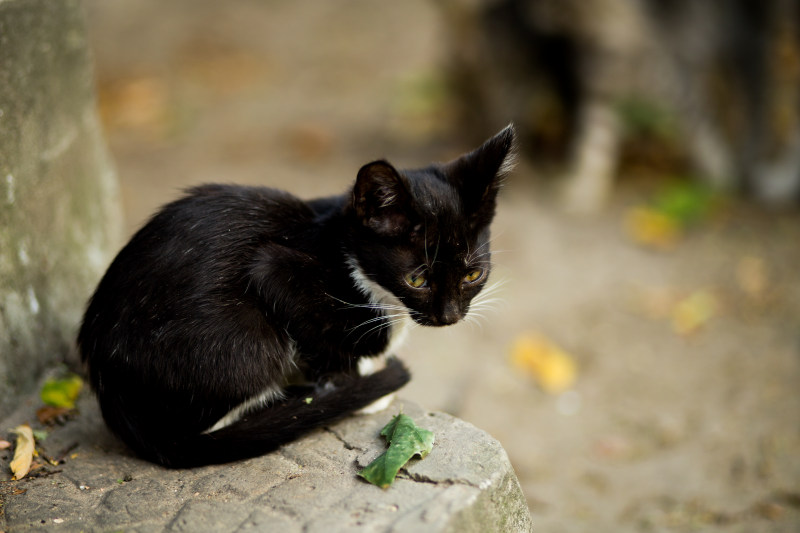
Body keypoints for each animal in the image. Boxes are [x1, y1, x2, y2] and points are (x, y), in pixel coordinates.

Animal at [78, 124, 516, 466]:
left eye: (473, 274)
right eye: (417, 280)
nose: (449, 316)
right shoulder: (275, 269)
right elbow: (320, 341)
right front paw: (354, 386)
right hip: (246, 341)